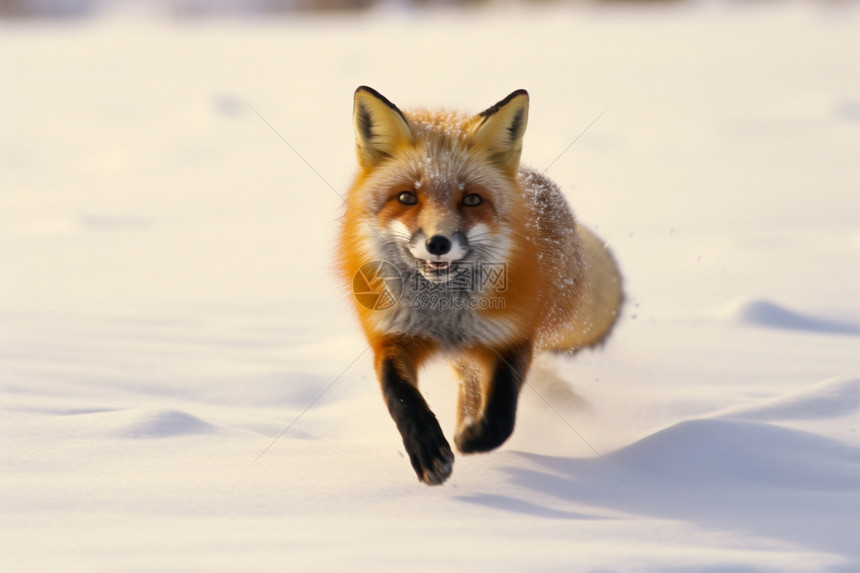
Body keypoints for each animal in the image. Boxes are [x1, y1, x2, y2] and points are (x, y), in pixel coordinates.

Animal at [338, 87, 624, 484]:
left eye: (472, 199)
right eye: (407, 197)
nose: (438, 243)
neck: (441, 313)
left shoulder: (512, 334)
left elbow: (502, 411)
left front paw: (476, 438)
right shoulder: (392, 338)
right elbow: (401, 397)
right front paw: (427, 450)